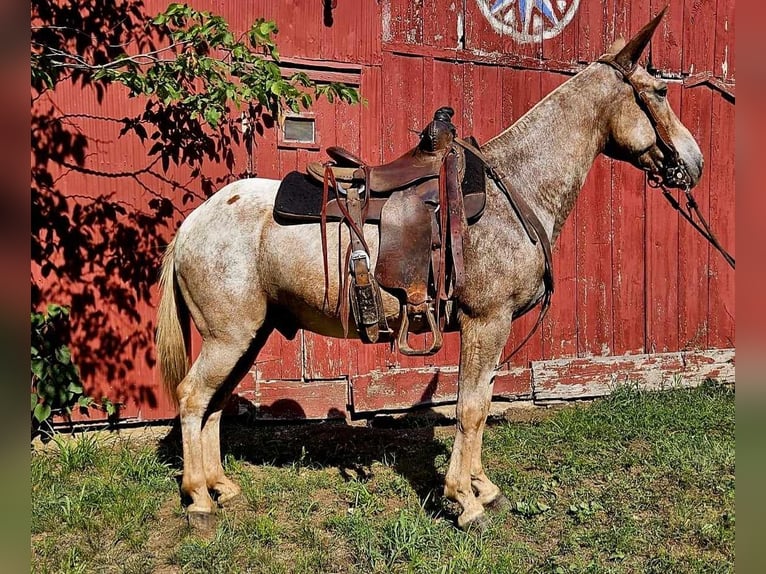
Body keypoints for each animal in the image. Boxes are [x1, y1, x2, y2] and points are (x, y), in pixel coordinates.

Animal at [158, 9, 708, 532]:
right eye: (660, 91)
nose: (696, 162)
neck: (517, 190)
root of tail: (191, 224)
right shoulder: (486, 321)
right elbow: (470, 408)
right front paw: (464, 501)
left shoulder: (491, 328)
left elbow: (481, 401)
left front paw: (482, 487)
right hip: (230, 336)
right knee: (192, 397)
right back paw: (199, 500)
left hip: (249, 335)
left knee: (215, 403)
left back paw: (222, 487)